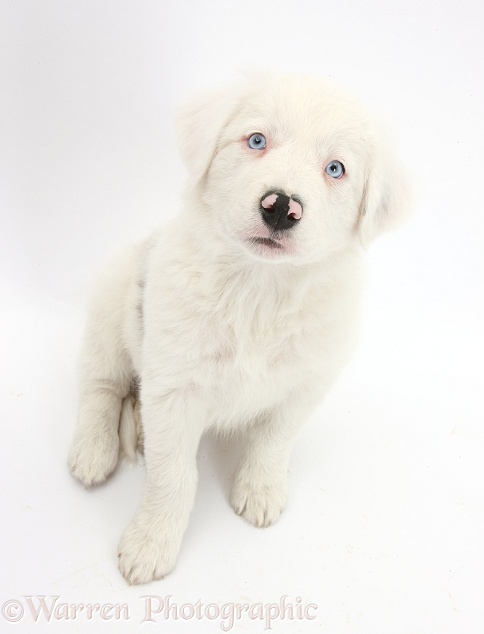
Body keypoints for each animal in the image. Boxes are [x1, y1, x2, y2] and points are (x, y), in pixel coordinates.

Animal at [67, 73, 408, 584]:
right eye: (256, 140)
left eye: (335, 169)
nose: (281, 206)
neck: (258, 291)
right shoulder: (175, 385)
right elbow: (173, 475)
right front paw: (152, 542)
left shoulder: (306, 383)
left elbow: (273, 441)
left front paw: (261, 491)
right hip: (111, 303)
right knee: (101, 385)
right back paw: (94, 448)